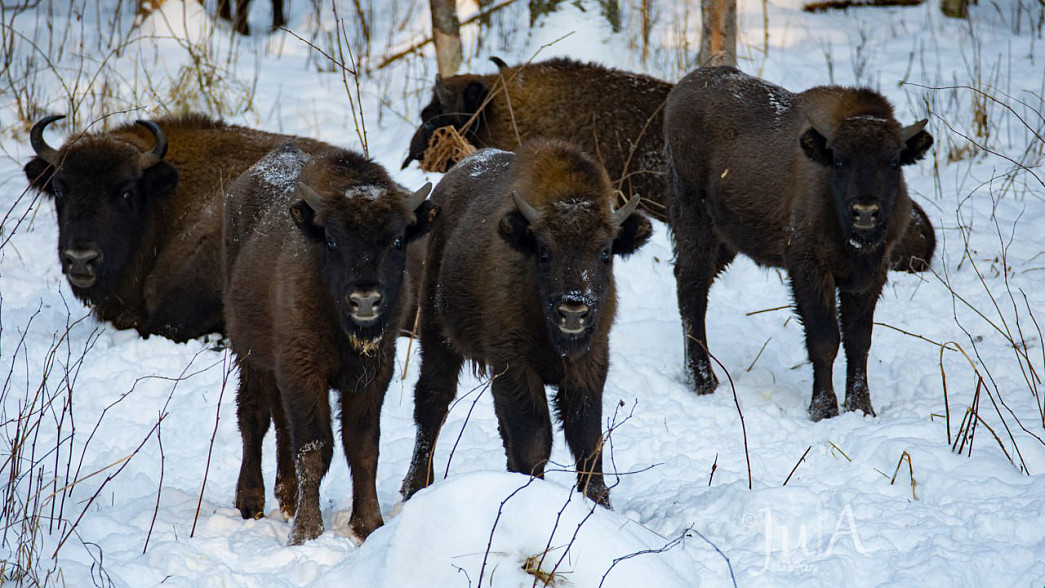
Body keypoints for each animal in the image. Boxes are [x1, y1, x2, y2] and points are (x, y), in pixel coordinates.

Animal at [224, 144, 436, 547]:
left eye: (397, 240)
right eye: (333, 240)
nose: (365, 300)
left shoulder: (374, 373)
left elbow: (362, 447)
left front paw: (369, 525)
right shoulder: (304, 370)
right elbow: (315, 448)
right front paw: (306, 532)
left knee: (280, 424)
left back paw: (287, 499)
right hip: (249, 355)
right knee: (254, 417)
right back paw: (250, 501)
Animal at [401, 139, 652, 507]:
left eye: (606, 252)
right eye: (544, 252)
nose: (573, 311)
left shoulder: (589, 365)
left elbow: (587, 440)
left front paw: (599, 503)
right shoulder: (516, 366)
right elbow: (534, 442)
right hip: (437, 335)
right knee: (433, 402)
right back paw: (415, 486)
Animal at [664, 66, 936, 421]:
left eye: (893, 161)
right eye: (839, 160)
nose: (865, 211)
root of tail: (683, 89)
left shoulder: (870, 274)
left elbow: (858, 341)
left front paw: (861, 408)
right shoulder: (809, 269)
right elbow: (824, 340)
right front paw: (823, 409)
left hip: (726, 239)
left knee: (694, 282)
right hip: (694, 221)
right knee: (692, 289)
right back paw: (703, 380)